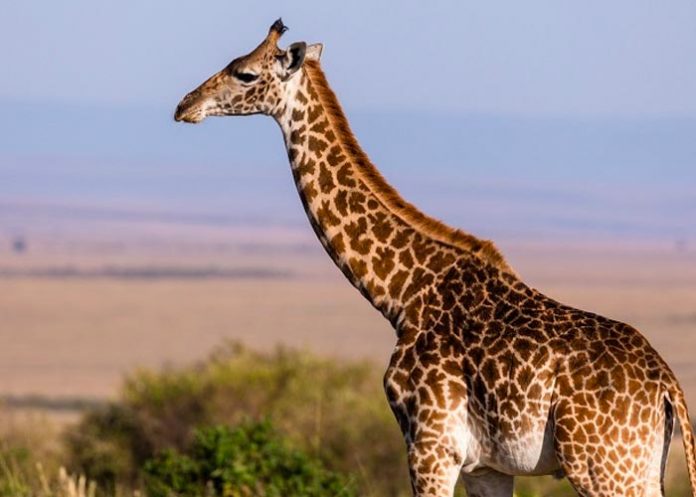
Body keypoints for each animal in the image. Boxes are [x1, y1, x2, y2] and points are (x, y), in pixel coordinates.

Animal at [174, 20, 696, 497]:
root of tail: (668, 387)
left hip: (603, 466)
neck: (400, 295)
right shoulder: (486, 466)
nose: (184, 106)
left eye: (244, 73)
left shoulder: (430, 446)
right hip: (639, 467)